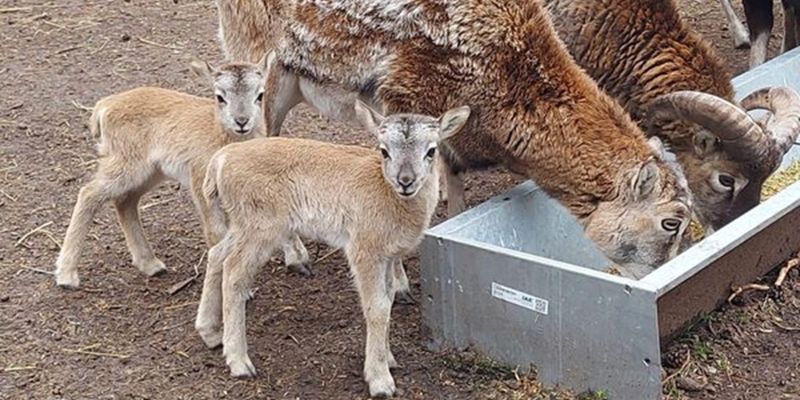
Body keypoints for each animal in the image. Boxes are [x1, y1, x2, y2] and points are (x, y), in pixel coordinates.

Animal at [53, 55, 311, 289]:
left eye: (260, 94)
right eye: (220, 96)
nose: (241, 121)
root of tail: (104, 106)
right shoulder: (200, 184)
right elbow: (216, 233)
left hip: (151, 172)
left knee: (125, 201)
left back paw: (151, 265)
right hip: (125, 164)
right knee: (89, 194)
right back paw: (67, 276)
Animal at [194, 100, 470, 397]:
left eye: (432, 150)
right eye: (384, 150)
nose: (405, 181)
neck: (389, 197)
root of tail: (220, 161)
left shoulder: (386, 255)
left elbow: (388, 301)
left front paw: (389, 359)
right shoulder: (364, 249)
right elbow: (377, 308)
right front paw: (380, 380)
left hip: (243, 225)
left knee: (217, 254)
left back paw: (210, 333)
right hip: (259, 226)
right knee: (234, 274)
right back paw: (239, 361)